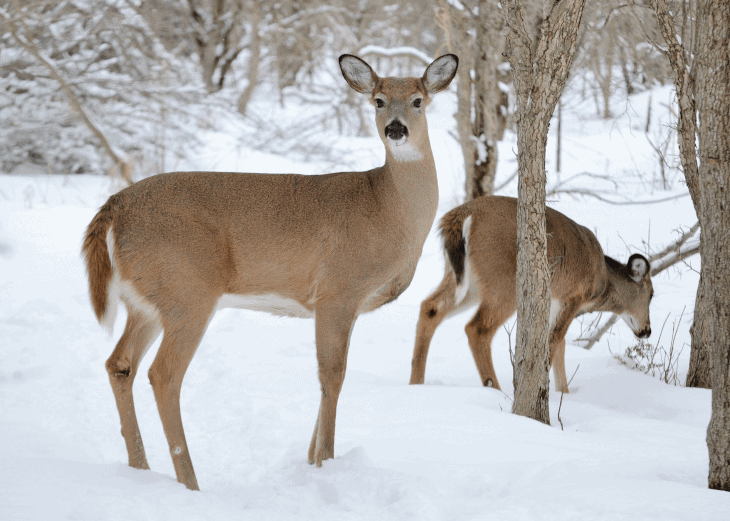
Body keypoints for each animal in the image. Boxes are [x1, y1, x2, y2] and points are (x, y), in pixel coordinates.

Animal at [79, 51, 456, 488]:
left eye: (417, 100)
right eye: (378, 101)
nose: (396, 129)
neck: (389, 208)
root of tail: (114, 207)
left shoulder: (346, 305)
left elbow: (331, 374)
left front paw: (312, 461)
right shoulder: (338, 290)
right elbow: (333, 376)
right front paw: (326, 462)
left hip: (147, 301)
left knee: (120, 364)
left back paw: (140, 470)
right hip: (188, 291)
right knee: (164, 374)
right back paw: (190, 482)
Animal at [406, 195, 652, 390]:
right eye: (651, 294)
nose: (647, 331)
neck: (601, 282)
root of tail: (462, 214)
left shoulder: (555, 301)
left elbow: (561, 346)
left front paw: (564, 393)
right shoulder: (573, 296)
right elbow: (554, 341)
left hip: (467, 280)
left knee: (430, 307)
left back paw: (416, 383)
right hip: (504, 281)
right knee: (477, 328)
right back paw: (496, 390)